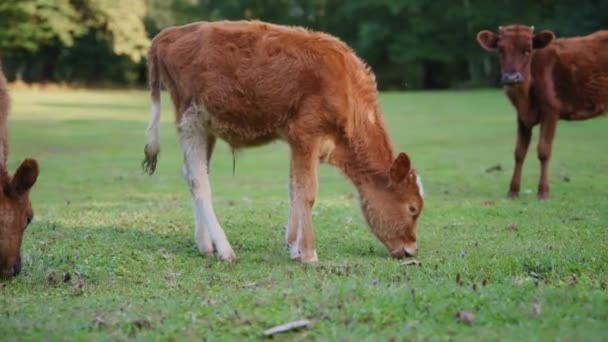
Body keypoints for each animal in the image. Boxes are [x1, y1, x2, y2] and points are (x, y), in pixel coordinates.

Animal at [478, 25, 608, 199]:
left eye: (528, 50)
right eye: (500, 50)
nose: (511, 77)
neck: (525, 96)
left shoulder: (551, 110)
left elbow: (544, 150)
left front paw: (543, 192)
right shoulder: (522, 116)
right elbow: (519, 152)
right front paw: (513, 191)